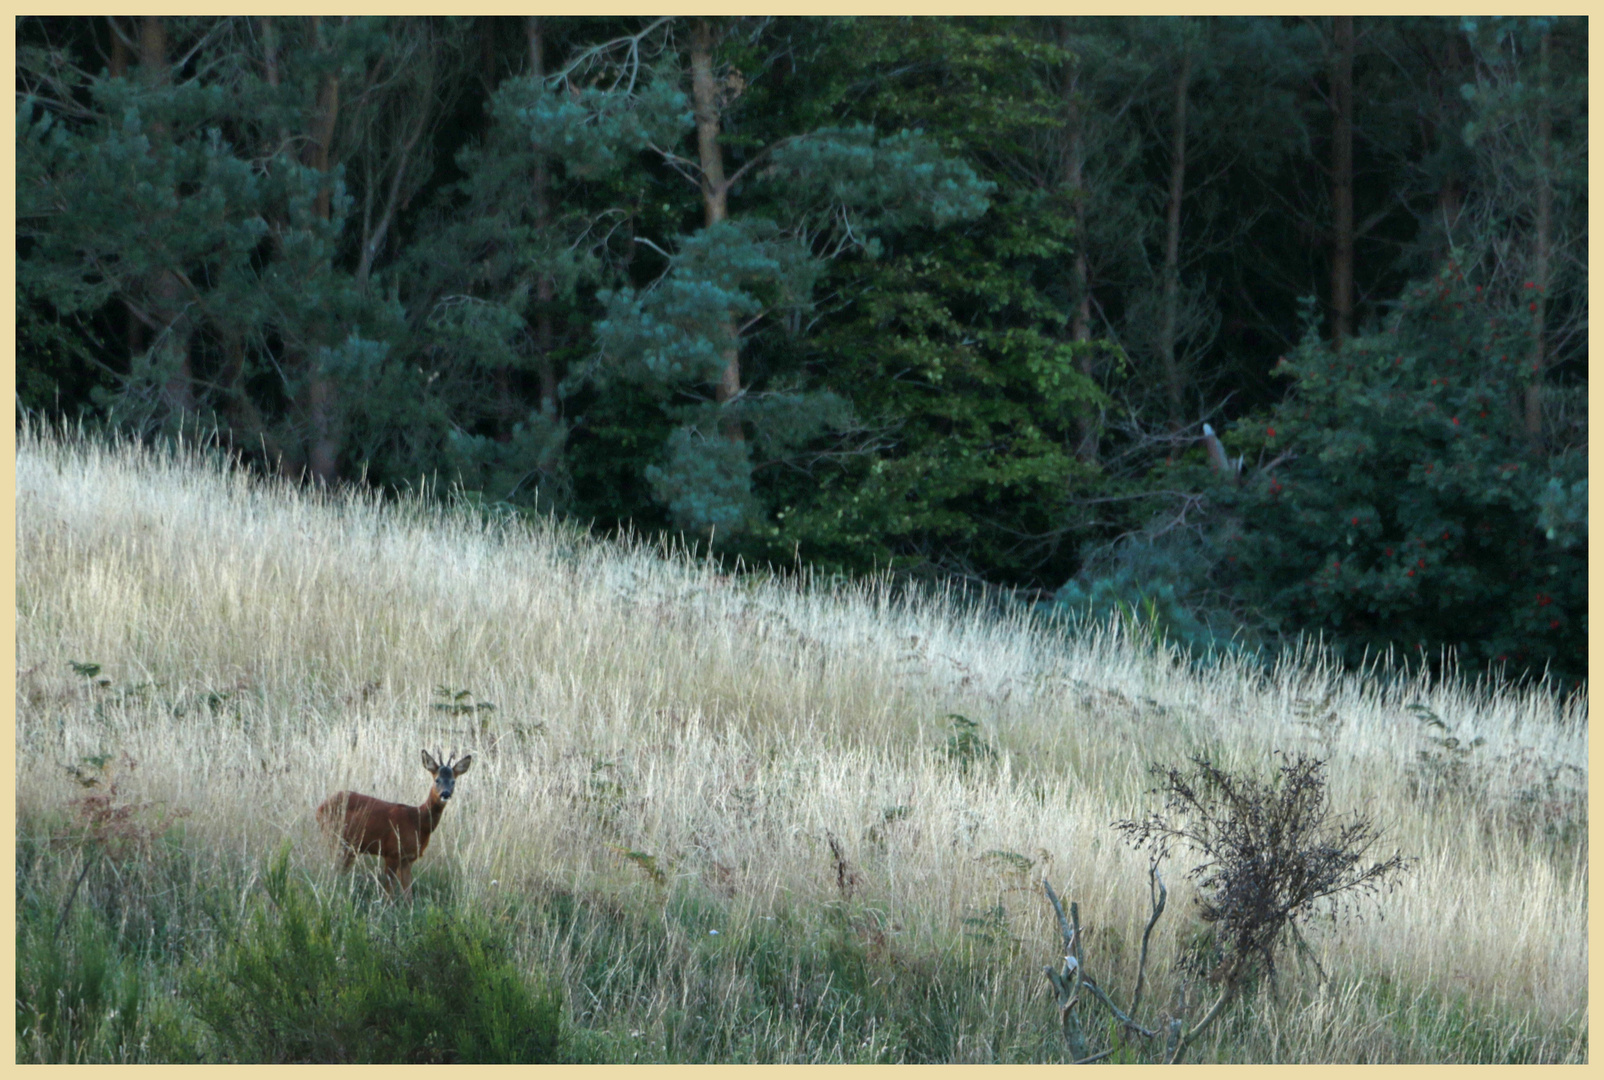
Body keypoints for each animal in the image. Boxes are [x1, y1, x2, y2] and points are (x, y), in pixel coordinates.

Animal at [315, 744, 471, 898]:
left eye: (453, 781)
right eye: (437, 779)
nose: (445, 793)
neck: (417, 821)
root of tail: (319, 808)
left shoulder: (408, 858)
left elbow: (408, 895)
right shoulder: (392, 852)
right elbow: (388, 894)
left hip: (349, 846)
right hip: (334, 837)